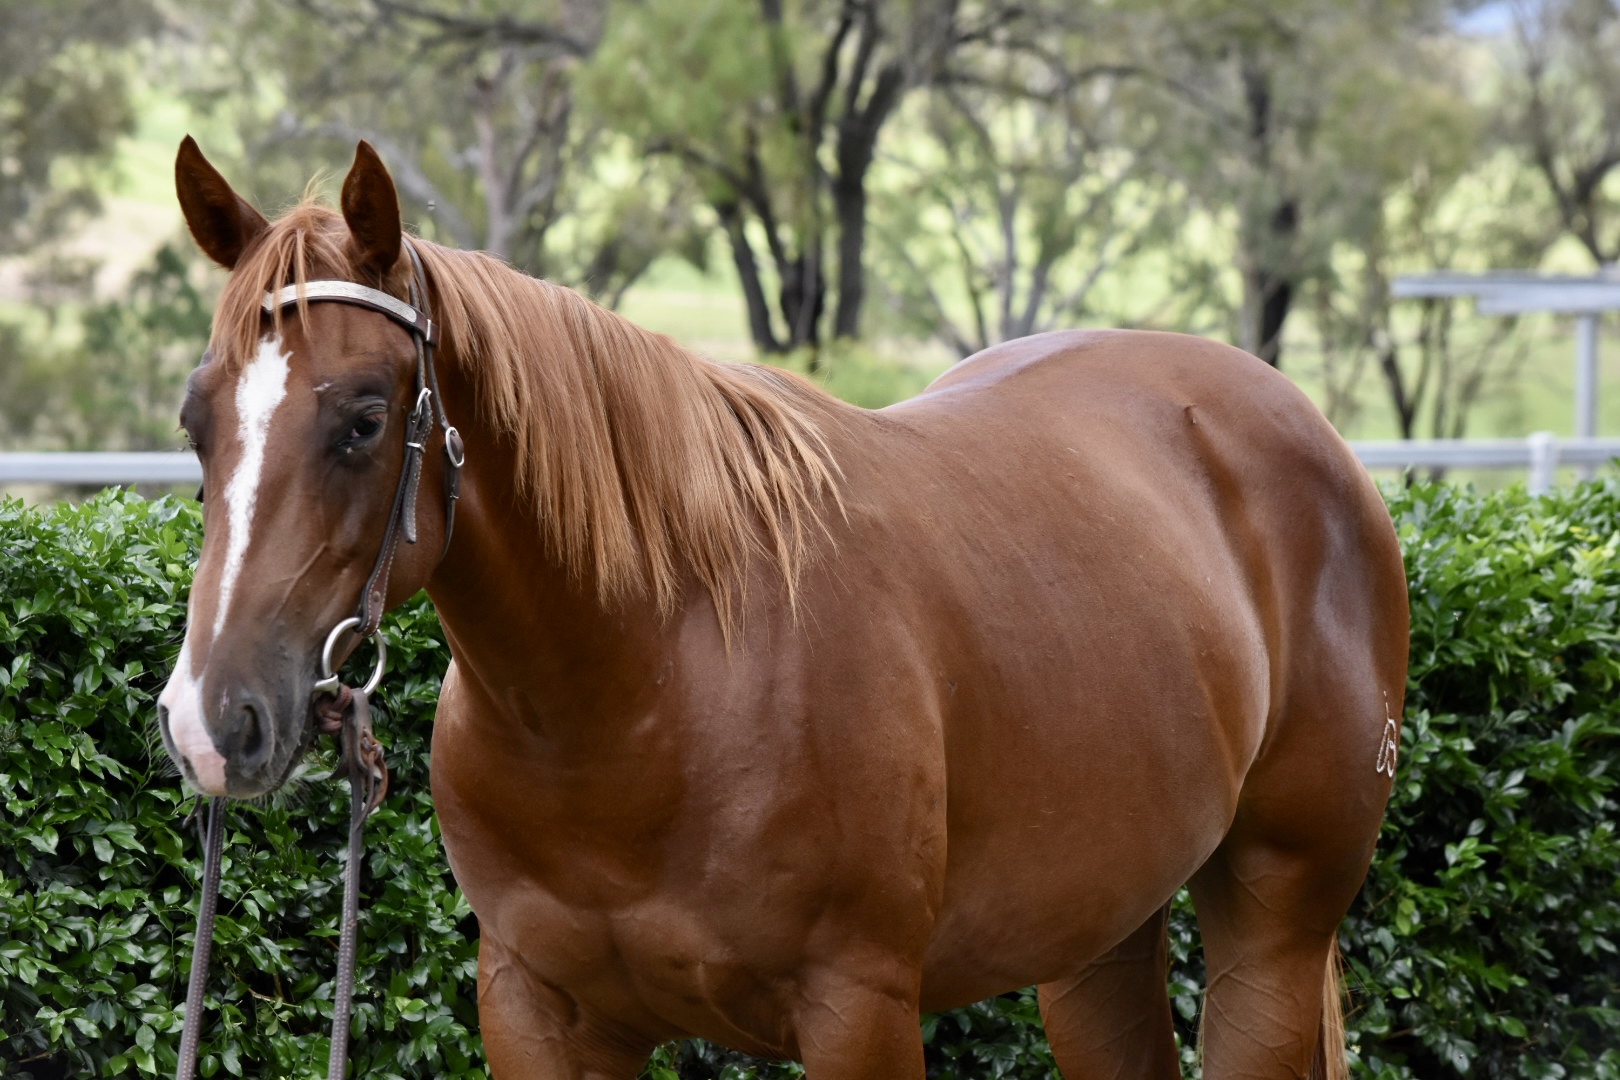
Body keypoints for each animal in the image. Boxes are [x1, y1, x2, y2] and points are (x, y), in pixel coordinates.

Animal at [158, 136, 1409, 1080]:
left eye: (365, 418)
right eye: (195, 417)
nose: (211, 721)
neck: (652, 681)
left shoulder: (858, 1014)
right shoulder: (539, 1014)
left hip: (1274, 917)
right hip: (1100, 933)